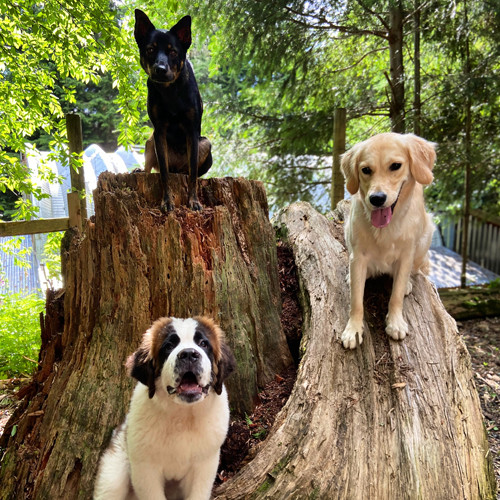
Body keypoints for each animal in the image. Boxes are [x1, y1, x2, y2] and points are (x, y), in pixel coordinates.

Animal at [94, 316, 236, 500]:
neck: (182, 415)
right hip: (113, 475)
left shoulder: (204, 466)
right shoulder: (145, 470)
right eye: (169, 346)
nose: (189, 354)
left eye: (203, 343)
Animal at [135, 10, 211, 211]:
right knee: (151, 169)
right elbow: (164, 173)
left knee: (188, 172)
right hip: (150, 142)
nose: (160, 69)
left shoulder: (192, 131)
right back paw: (139, 170)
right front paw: (167, 201)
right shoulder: (159, 131)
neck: (170, 90)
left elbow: (193, 175)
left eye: (173, 51)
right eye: (150, 49)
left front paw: (194, 201)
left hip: (205, 144)